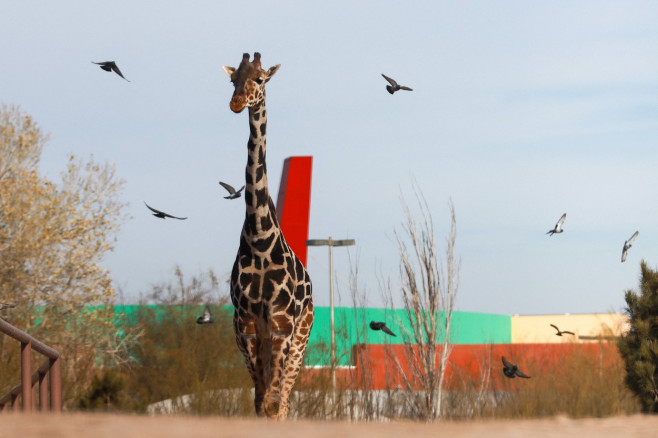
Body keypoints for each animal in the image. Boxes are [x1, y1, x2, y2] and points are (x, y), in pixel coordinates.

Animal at [220, 53, 312, 420]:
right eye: (233, 80)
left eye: (260, 79)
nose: (236, 103)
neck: (259, 240)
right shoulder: (245, 323)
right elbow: (259, 402)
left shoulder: (282, 323)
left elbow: (273, 403)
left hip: (301, 336)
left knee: (283, 399)